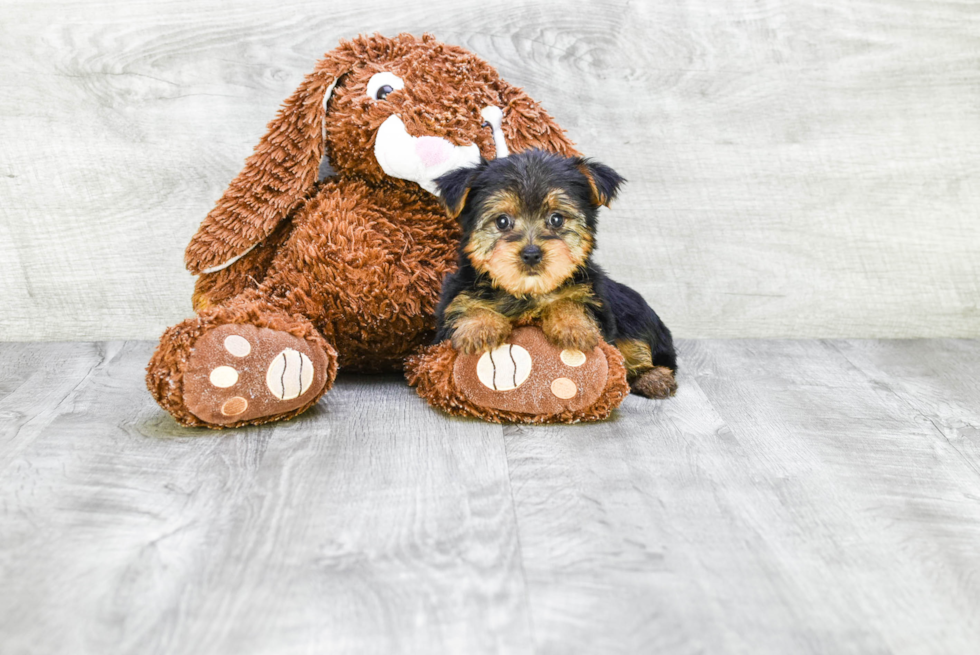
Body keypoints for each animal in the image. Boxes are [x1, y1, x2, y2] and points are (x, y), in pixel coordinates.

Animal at [432, 149, 676, 400]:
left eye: (556, 219)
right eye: (502, 221)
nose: (531, 254)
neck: (529, 291)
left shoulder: (596, 301)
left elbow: (571, 301)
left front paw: (572, 326)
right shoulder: (453, 300)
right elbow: (466, 306)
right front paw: (480, 327)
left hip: (633, 313)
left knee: (637, 346)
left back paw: (652, 377)